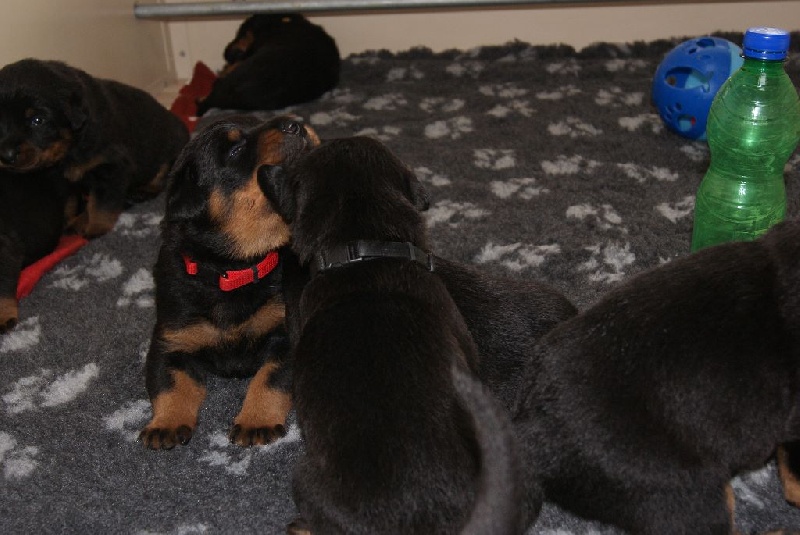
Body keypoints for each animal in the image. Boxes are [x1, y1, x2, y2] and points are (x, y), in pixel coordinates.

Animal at [0, 59, 189, 238]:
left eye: (37, 120)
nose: (6, 156)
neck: (72, 146)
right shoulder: (63, 178)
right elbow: (71, 202)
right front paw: (72, 221)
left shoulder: (111, 167)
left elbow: (101, 205)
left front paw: (96, 229)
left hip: (172, 149)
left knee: (162, 173)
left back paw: (144, 191)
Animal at [139, 115, 320, 450]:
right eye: (235, 150)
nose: (294, 124)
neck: (232, 269)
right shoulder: (171, 340)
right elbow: (170, 385)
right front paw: (165, 424)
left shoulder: (286, 334)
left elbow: (269, 379)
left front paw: (256, 421)